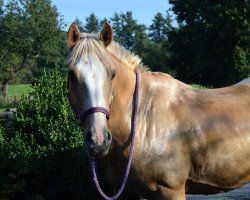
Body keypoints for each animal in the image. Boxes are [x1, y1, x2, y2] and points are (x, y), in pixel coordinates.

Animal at [67, 22, 250, 200]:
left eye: (112, 74)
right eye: (71, 74)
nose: (98, 140)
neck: (142, 119)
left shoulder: (171, 190)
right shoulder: (124, 192)